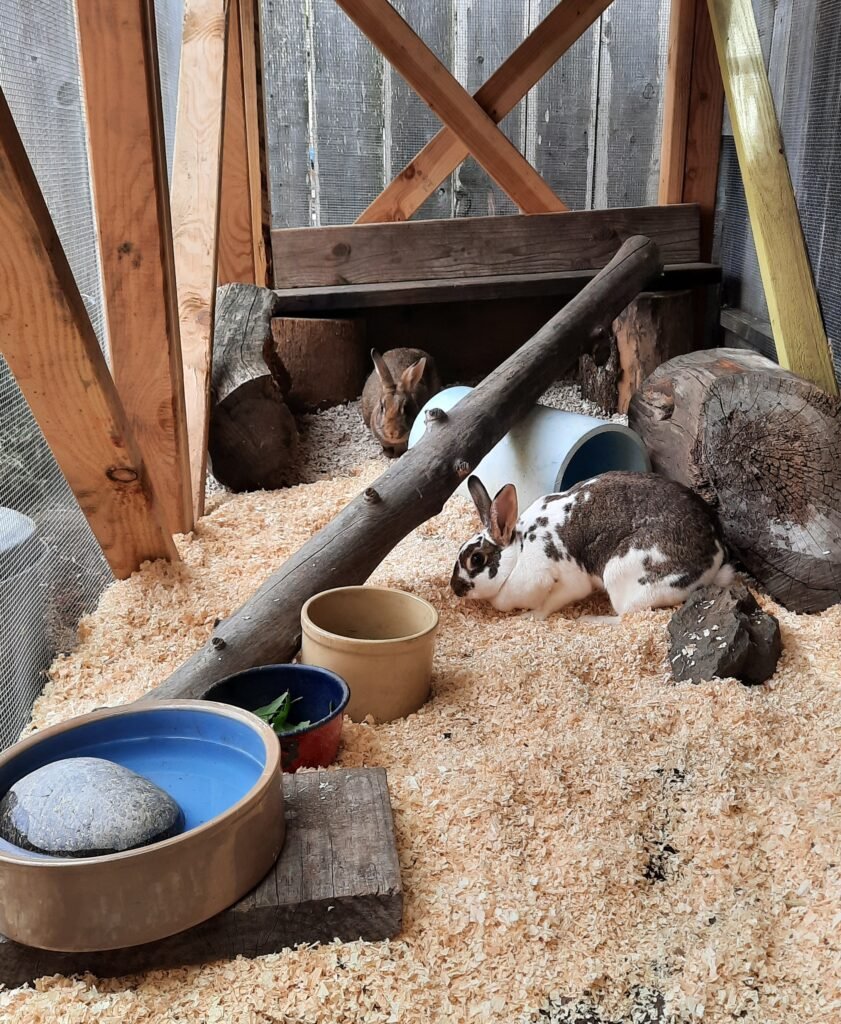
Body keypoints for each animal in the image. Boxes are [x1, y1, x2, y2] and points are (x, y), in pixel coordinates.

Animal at [450, 471, 734, 622]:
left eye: (477, 559)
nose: (455, 588)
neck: (519, 552)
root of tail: (715, 557)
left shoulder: (567, 582)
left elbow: (549, 603)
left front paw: (528, 617)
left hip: (622, 576)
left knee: (625, 616)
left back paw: (591, 620)